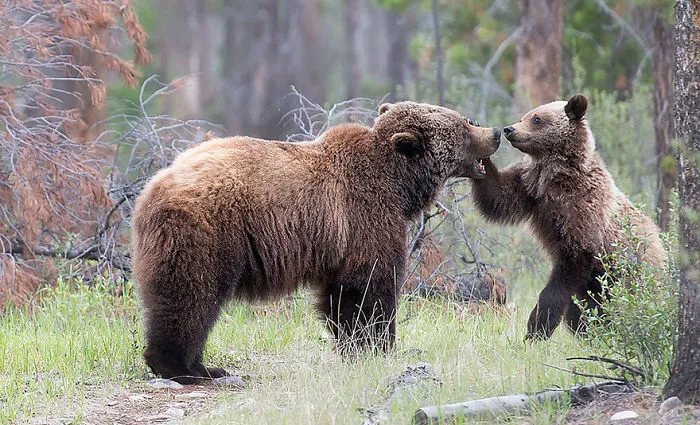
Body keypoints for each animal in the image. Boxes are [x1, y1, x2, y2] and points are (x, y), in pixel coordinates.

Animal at [131, 101, 501, 383]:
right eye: (464, 127)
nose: (496, 133)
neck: (399, 185)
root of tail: (153, 187)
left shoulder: (341, 243)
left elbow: (340, 296)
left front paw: (357, 347)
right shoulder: (364, 219)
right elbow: (369, 289)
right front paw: (379, 346)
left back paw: (198, 365)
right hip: (209, 231)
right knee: (192, 295)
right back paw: (189, 368)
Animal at [470, 94, 665, 341]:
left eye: (536, 119)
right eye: (525, 116)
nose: (509, 129)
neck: (556, 178)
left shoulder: (583, 214)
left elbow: (567, 272)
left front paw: (537, 326)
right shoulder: (530, 188)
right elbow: (498, 197)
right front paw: (479, 150)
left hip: (629, 273)